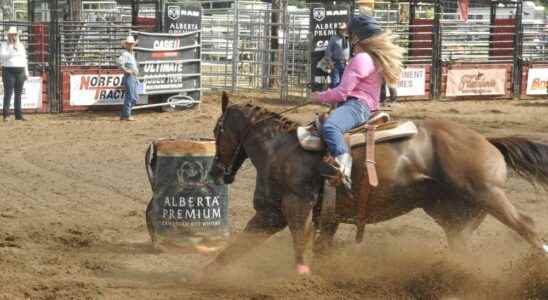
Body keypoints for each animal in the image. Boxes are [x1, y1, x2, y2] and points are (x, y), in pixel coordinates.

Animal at [207, 92, 548, 276]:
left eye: (217, 129)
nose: (215, 172)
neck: (279, 149)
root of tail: (488, 141)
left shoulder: (295, 207)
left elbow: (299, 248)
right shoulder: (280, 215)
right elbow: (231, 253)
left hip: (488, 194)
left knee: (527, 225)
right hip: (454, 214)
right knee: (463, 245)